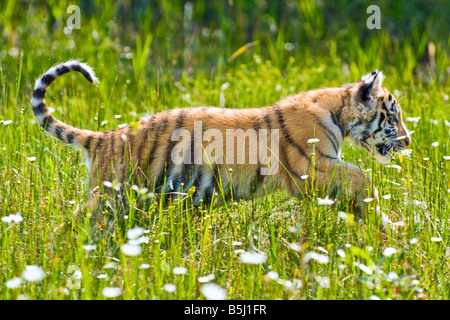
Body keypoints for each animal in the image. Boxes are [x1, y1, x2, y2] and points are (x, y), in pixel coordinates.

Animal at [31, 61, 412, 226]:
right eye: (392, 117)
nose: (409, 141)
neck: (338, 110)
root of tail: (103, 137)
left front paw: (368, 221)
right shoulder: (312, 169)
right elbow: (362, 177)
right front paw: (385, 224)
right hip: (111, 195)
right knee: (75, 222)